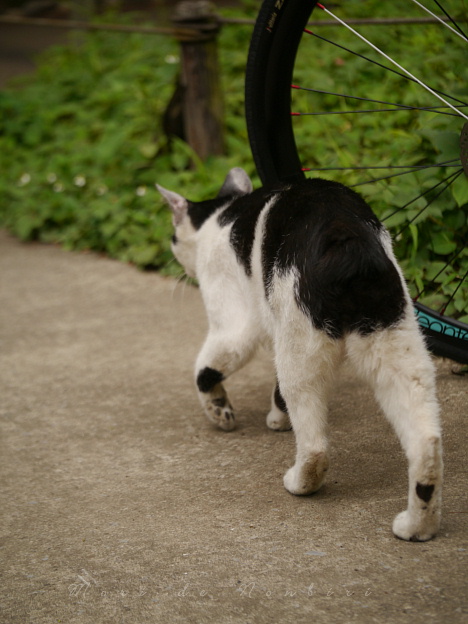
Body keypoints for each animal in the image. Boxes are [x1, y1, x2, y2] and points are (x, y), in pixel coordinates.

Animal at [157, 169, 442, 540]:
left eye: (174, 238)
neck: (221, 213)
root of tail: (346, 236)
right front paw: (278, 418)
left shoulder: (235, 324)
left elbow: (205, 369)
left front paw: (221, 412)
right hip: (398, 346)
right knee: (426, 441)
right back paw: (418, 525)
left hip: (299, 347)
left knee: (315, 445)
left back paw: (300, 482)